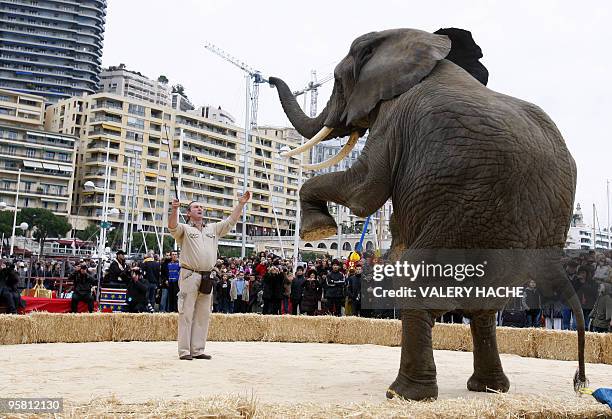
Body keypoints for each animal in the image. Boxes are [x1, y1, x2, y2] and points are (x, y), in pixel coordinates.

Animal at [270, 27, 584, 402]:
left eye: (337, 80)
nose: (270, 78)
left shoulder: (393, 120)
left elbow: (364, 190)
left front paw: (317, 231)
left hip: (463, 221)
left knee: (417, 289)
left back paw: (405, 394)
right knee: (485, 310)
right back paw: (488, 388)